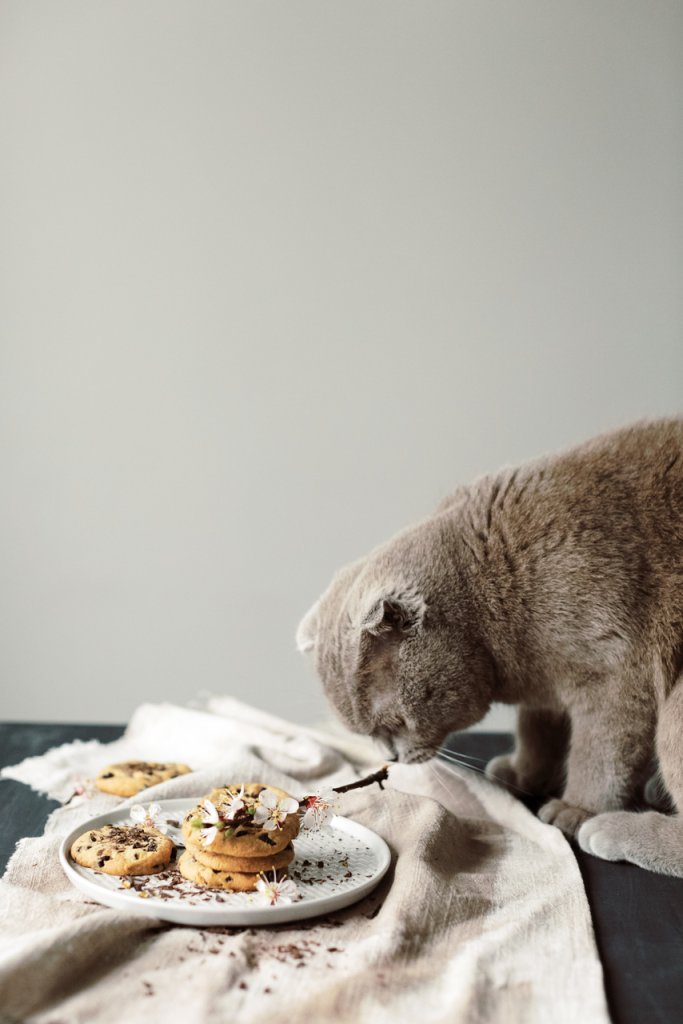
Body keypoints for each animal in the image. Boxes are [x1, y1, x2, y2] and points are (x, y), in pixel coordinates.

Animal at [296, 419, 683, 876]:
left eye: (397, 723)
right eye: (366, 734)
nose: (390, 756)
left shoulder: (615, 676)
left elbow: (599, 751)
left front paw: (576, 807)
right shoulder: (546, 687)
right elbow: (538, 730)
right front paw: (525, 773)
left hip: (676, 709)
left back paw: (615, 828)